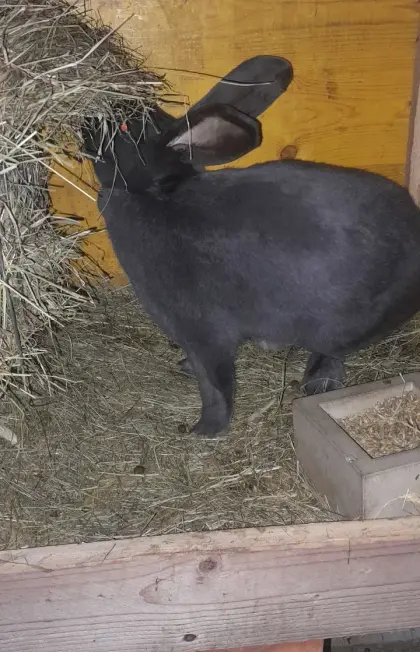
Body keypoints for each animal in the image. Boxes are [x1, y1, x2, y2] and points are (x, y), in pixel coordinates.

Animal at [83, 55, 420, 438]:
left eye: (124, 128)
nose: (85, 121)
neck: (156, 195)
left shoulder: (201, 332)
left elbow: (215, 384)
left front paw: (204, 429)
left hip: (340, 325)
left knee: (332, 351)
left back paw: (319, 381)